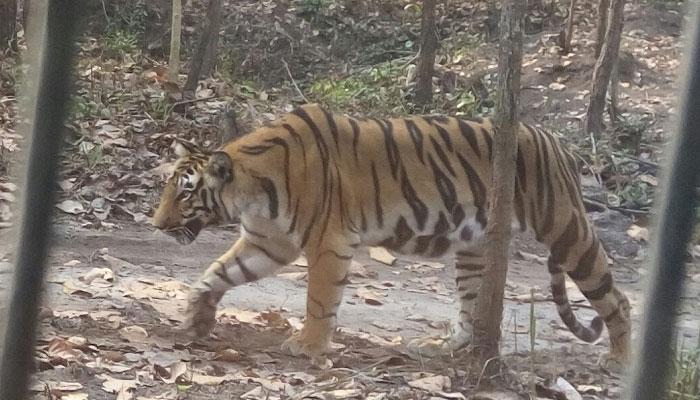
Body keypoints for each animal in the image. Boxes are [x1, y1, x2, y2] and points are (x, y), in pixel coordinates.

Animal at [150, 102, 632, 362]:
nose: (155, 224)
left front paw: (308, 345)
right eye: (166, 186)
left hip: (566, 229)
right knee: (470, 303)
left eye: (185, 193)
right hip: (474, 247)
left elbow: (320, 300)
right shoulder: (268, 243)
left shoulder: (328, 243)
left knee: (617, 298)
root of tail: (557, 142)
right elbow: (218, 271)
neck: (249, 190)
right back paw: (446, 346)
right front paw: (196, 315)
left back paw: (617, 359)